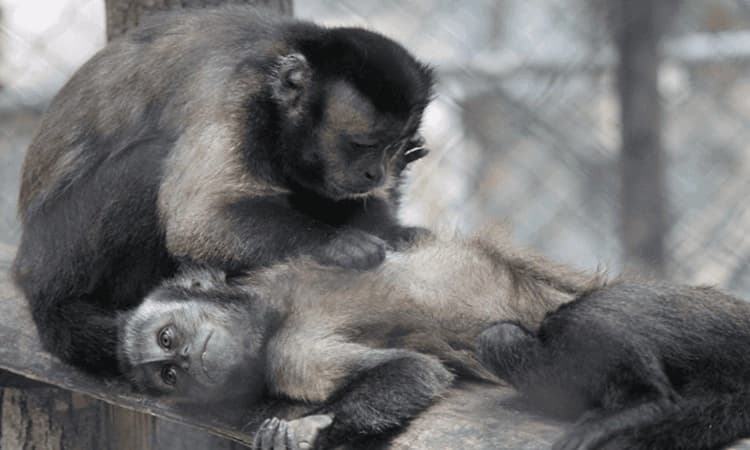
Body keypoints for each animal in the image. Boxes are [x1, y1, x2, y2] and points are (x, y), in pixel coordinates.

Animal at [12, 5, 434, 374]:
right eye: (361, 144)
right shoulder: (234, 97)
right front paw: (337, 242)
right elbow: (198, 223)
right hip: (61, 250)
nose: (376, 173)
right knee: (148, 162)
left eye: (393, 145)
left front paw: (392, 229)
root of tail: (29, 274)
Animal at [119, 229, 598, 449]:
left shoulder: (291, 350)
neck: (271, 316)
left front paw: (313, 430)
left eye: (167, 339)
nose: (185, 361)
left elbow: (412, 369)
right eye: (169, 375)